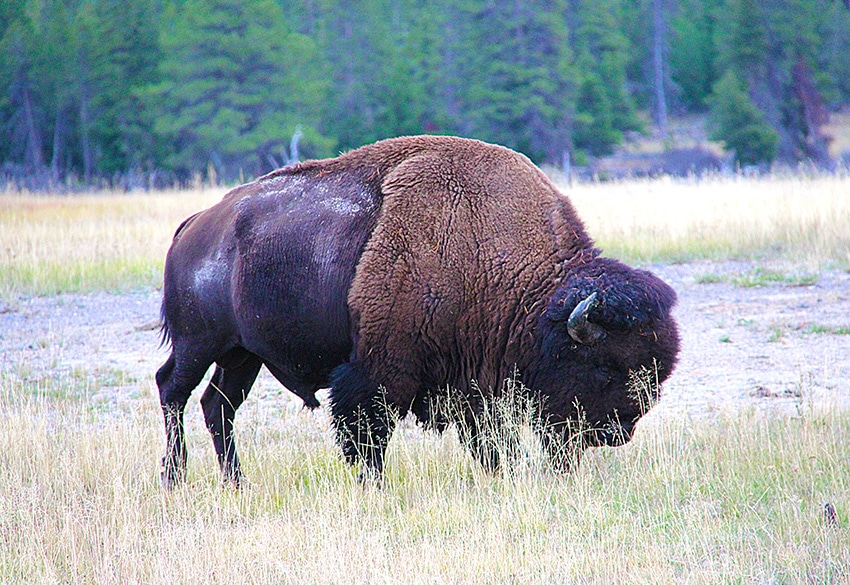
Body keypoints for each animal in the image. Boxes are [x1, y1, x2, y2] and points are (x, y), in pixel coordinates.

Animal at [156, 135, 680, 486]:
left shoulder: (472, 383)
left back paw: (236, 482)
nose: (620, 429)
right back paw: (175, 478)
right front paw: (374, 486)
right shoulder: (380, 372)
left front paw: (505, 475)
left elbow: (491, 442)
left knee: (218, 406)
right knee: (173, 391)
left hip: (243, 354)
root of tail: (194, 225)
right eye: (605, 365)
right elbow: (368, 435)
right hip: (198, 342)